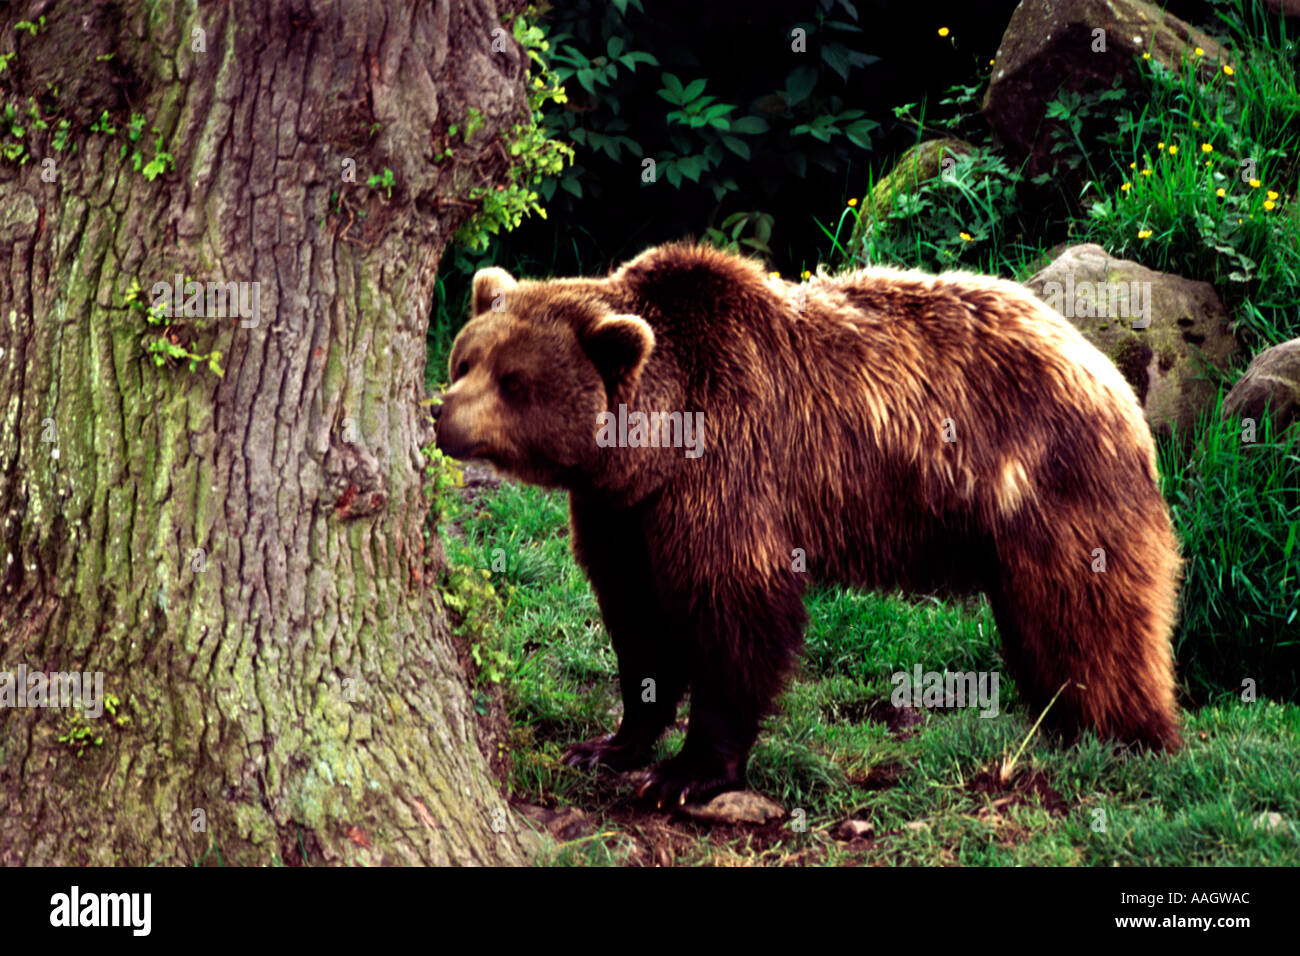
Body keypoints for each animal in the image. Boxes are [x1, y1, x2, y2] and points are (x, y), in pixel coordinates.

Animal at [434, 242, 1183, 807]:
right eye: (466, 358)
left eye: (514, 381)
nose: (443, 413)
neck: (649, 449)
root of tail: (1102, 365)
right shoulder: (621, 512)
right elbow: (637, 621)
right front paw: (609, 744)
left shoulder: (725, 467)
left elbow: (734, 612)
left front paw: (687, 772)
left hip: (1048, 484)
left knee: (1092, 616)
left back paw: (1128, 734)